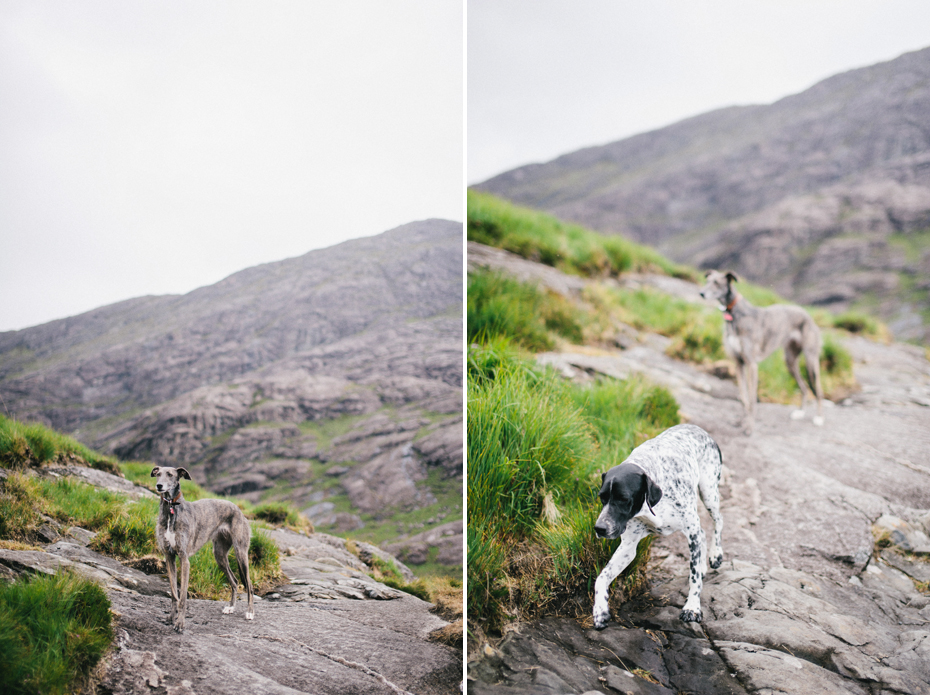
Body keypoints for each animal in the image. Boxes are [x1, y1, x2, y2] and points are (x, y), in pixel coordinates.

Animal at [151, 464, 254, 632]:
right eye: (158, 474)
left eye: (170, 474)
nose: (159, 486)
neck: (171, 508)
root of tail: (238, 509)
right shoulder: (169, 556)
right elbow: (174, 593)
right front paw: (171, 618)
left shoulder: (184, 558)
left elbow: (183, 597)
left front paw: (180, 624)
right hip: (219, 555)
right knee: (234, 581)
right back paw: (231, 607)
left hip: (241, 552)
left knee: (249, 585)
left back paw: (250, 612)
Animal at [592, 424, 720, 632]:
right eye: (602, 498)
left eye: (623, 499)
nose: (599, 528)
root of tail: (697, 428)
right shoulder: (627, 548)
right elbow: (601, 578)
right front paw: (600, 611)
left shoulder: (690, 531)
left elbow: (694, 580)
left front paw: (692, 607)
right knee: (702, 533)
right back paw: (702, 565)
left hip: (709, 493)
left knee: (718, 522)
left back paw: (716, 555)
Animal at [700, 270, 824, 432]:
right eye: (707, 281)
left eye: (716, 283)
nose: (701, 293)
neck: (734, 313)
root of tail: (809, 315)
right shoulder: (738, 363)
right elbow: (743, 398)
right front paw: (741, 421)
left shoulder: (752, 364)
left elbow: (752, 399)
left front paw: (749, 427)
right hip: (790, 361)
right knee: (804, 387)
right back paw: (800, 412)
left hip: (811, 360)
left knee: (818, 389)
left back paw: (819, 418)